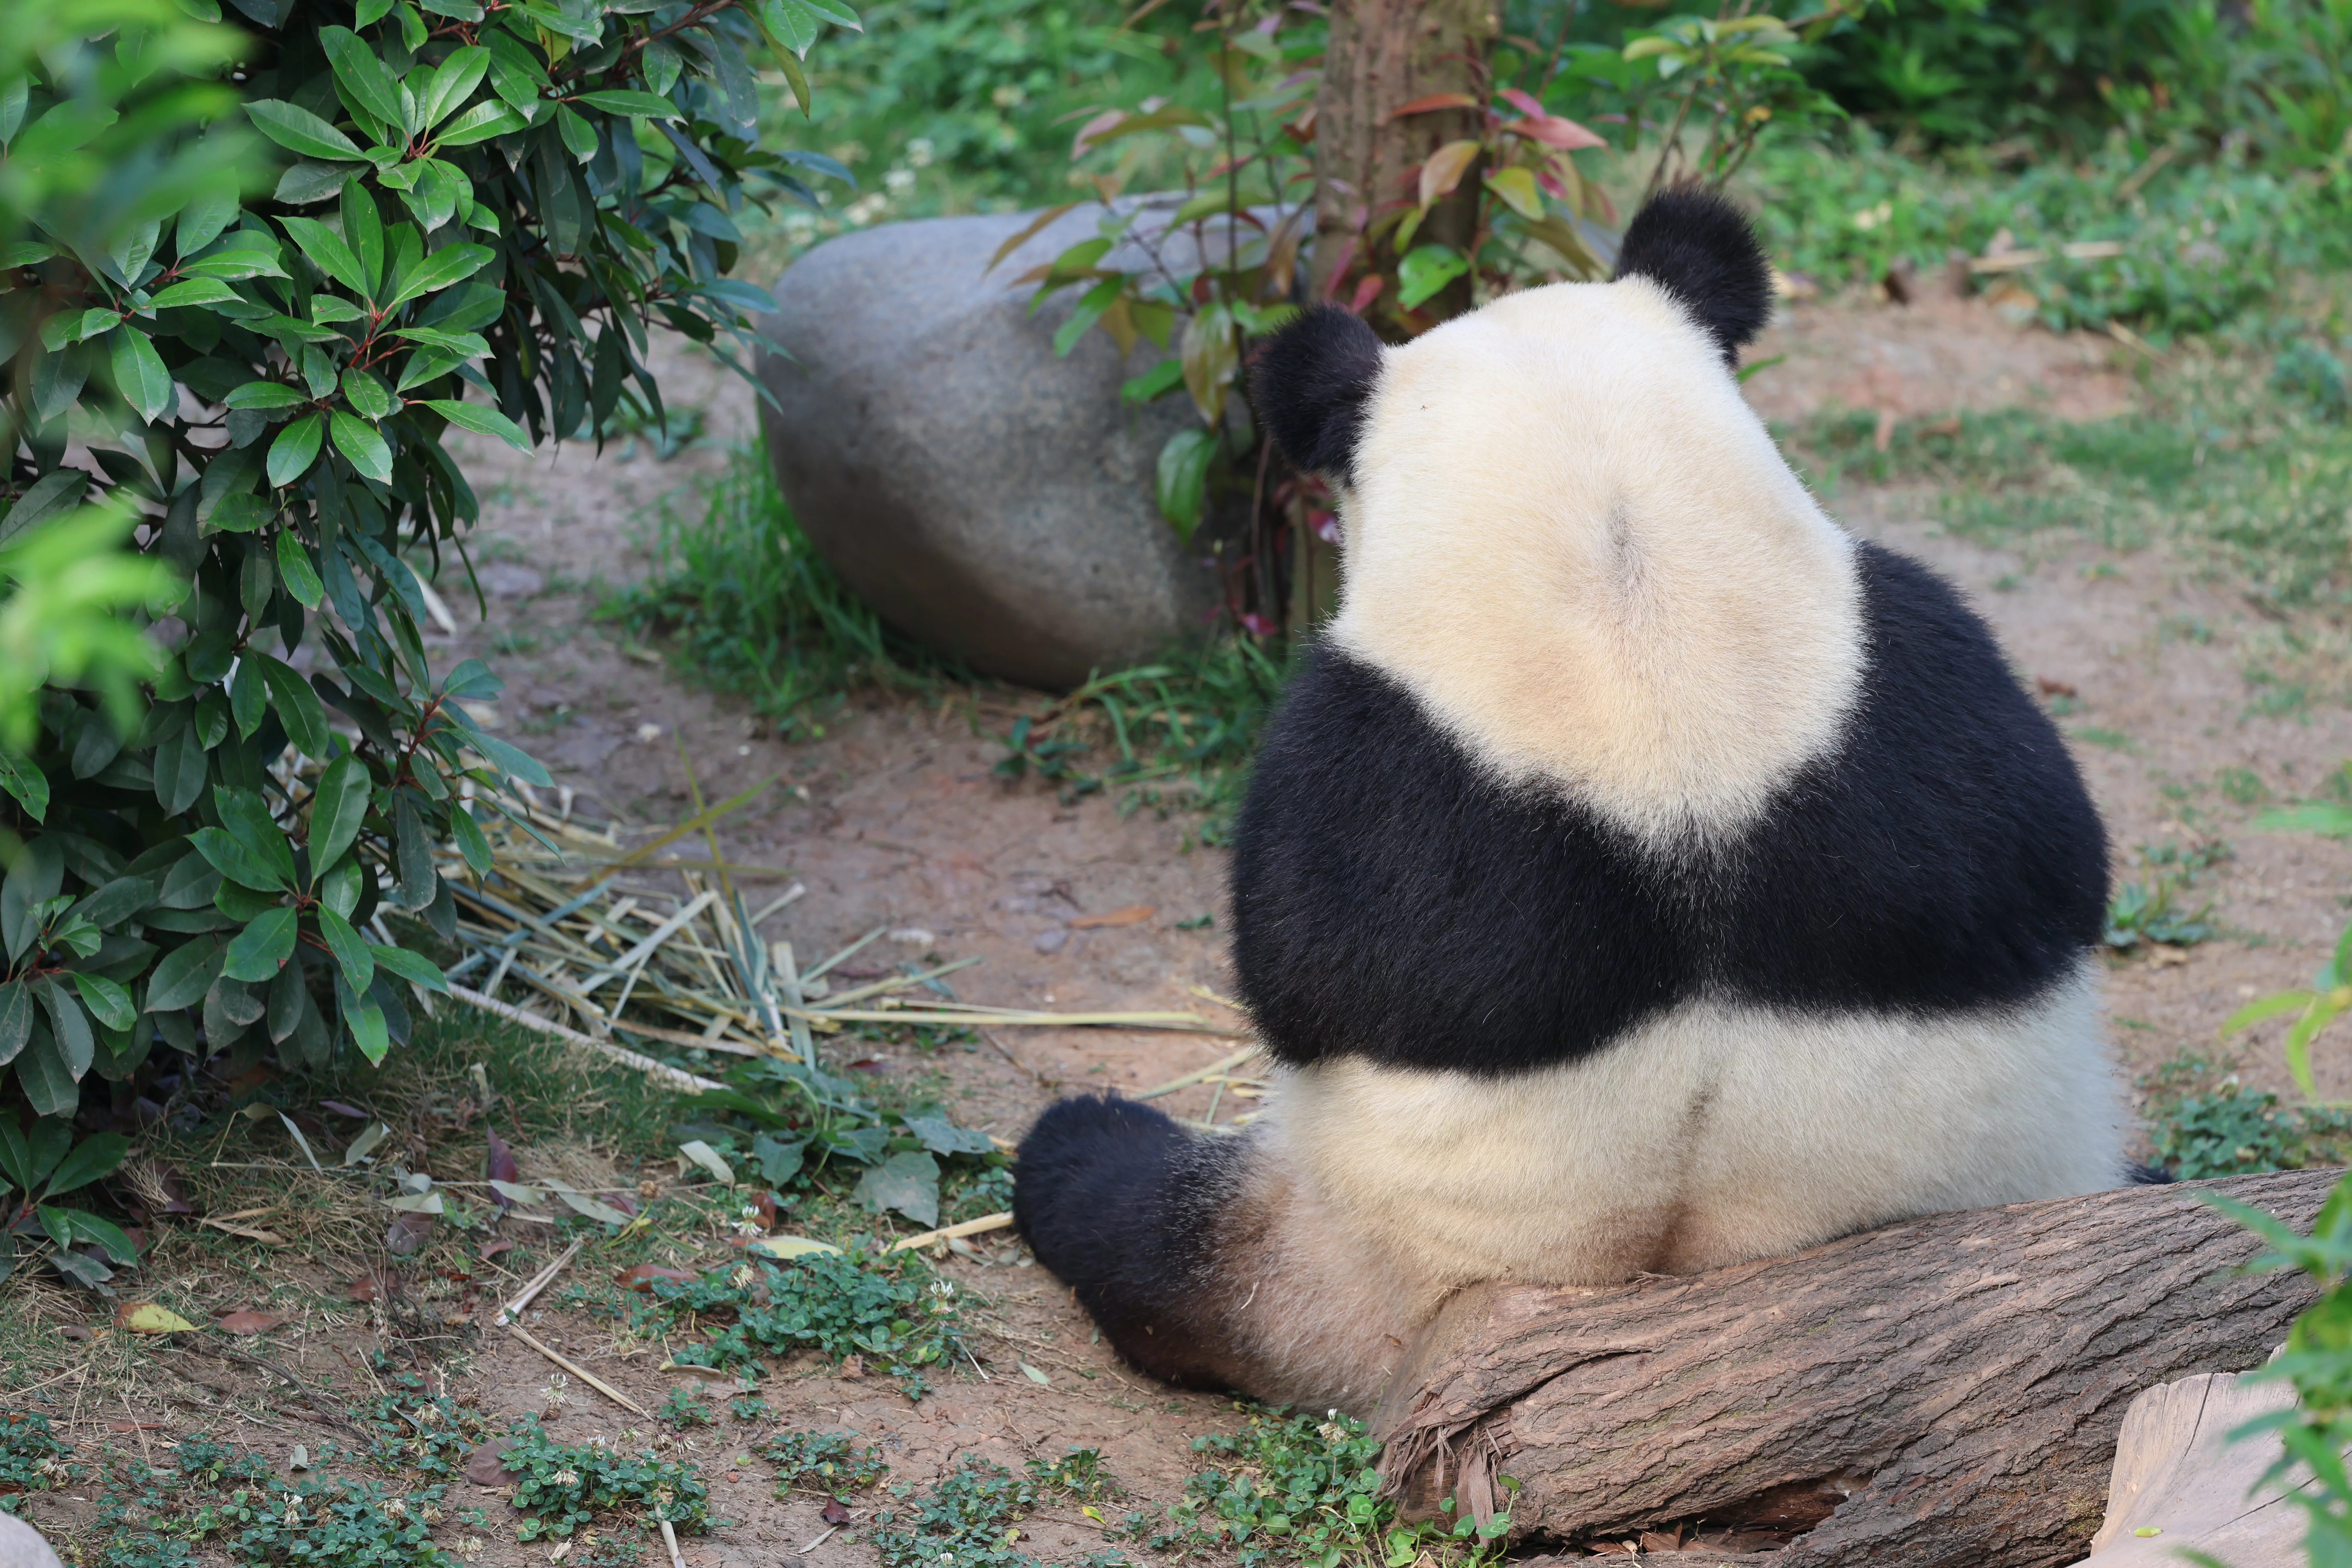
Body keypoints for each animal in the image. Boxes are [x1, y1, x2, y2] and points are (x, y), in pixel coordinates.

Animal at [1012, 188, 2132, 1419]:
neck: (1629, 574)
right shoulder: (1943, 691)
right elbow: (2071, 858)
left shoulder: (1359, 766)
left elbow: (1295, 969)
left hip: (1336, 1266)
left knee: (1150, 1237)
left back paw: (1081, 1147)